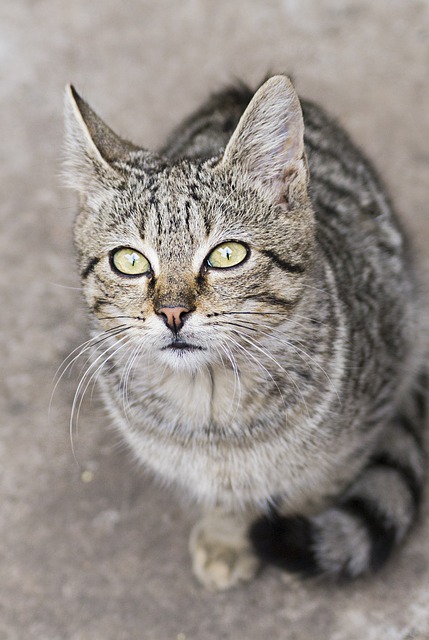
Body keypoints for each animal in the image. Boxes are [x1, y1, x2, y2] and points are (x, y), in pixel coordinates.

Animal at [61, 74, 426, 592]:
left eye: (227, 255)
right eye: (129, 261)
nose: (172, 311)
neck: (211, 410)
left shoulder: (361, 430)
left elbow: (315, 487)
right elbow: (221, 496)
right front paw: (226, 536)